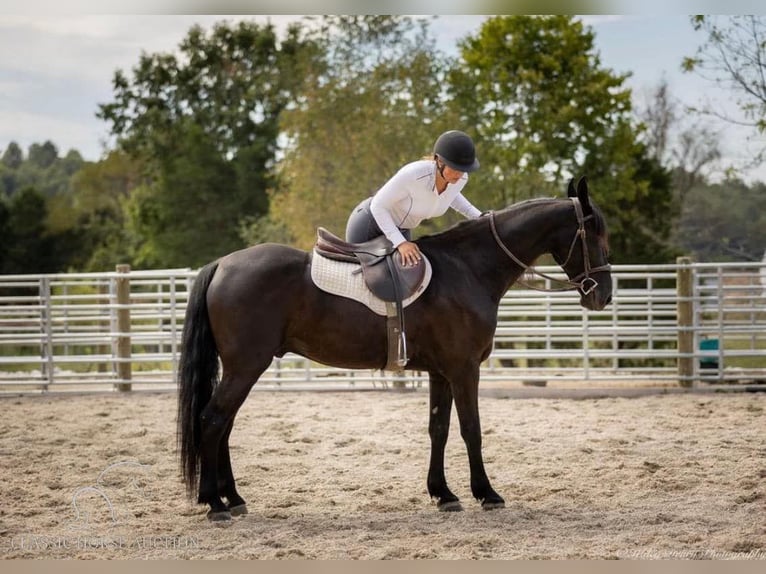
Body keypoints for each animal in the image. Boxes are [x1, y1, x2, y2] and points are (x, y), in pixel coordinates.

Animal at [178, 177, 612, 520]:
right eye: (594, 234)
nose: (603, 296)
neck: (467, 269)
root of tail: (222, 264)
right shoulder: (464, 368)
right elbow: (471, 429)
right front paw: (486, 493)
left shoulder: (441, 372)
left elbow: (439, 429)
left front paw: (443, 494)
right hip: (245, 367)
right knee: (213, 420)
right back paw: (214, 504)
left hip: (242, 368)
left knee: (224, 424)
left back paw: (233, 499)